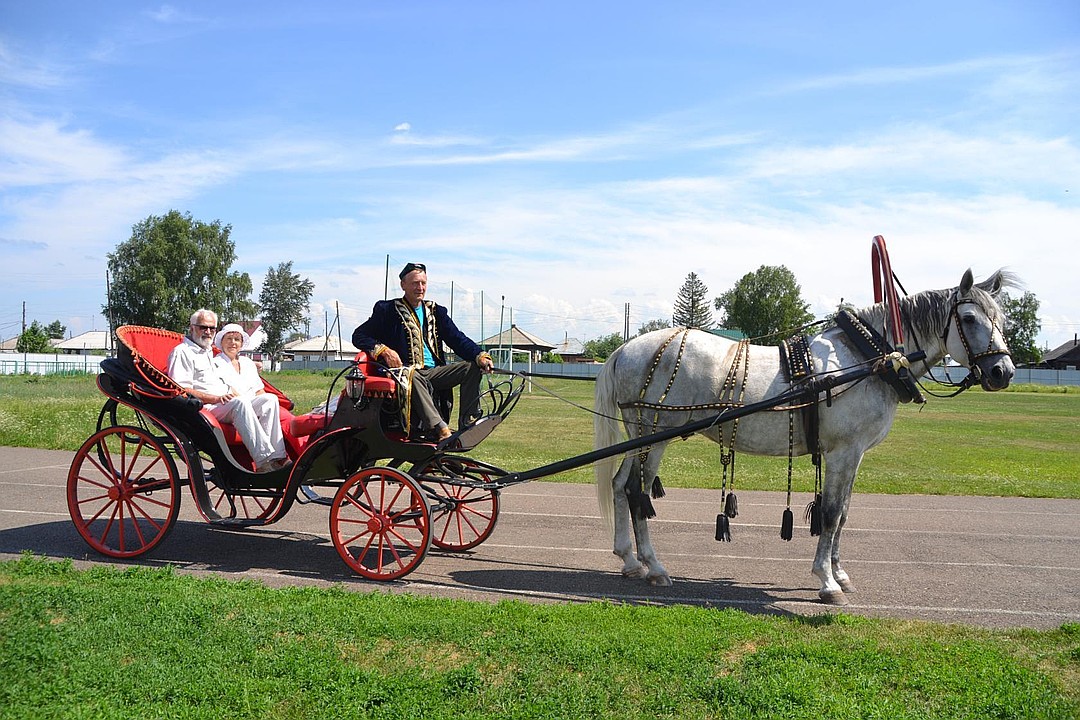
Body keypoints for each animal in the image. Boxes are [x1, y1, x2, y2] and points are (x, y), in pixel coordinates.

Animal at [596, 267, 1015, 604]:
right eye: (969, 318)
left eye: (1000, 318)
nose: (1003, 372)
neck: (871, 360)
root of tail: (626, 348)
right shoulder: (843, 452)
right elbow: (829, 513)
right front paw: (826, 582)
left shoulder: (855, 454)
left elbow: (843, 513)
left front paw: (840, 574)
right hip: (654, 435)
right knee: (635, 491)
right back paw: (654, 566)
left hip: (640, 435)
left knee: (619, 485)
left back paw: (630, 560)